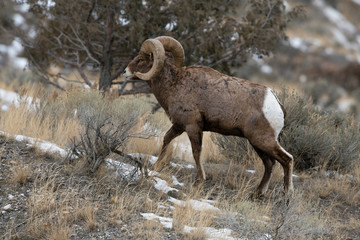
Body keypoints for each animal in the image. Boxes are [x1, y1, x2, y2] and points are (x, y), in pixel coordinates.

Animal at [124, 36, 292, 197]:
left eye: (141, 59)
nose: (125, 72)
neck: (174, 84)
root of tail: (276, 104)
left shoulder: (192, 127)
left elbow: (196, 152)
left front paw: (199, 181)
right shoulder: (179, 126)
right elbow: (166, 139)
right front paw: (156, 166)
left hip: (263, 140)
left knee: (287, 159)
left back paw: (287, 194)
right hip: (257, 143)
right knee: (269, 164)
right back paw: (258, 194)